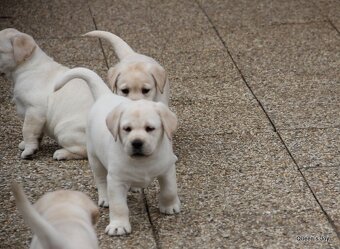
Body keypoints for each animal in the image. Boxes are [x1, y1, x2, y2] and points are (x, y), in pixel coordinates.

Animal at [0, 27, 93, 160]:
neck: (26, 66)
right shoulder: (37, 116)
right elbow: (37, 133)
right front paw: (31, 145)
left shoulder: (35, 110)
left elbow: (27, 130)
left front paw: (29, 150)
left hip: (63, 130)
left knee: (84, 151)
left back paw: (62, 153)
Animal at [54, 67, 181, 235]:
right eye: (126, 129)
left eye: (150, 128)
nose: (137, 142)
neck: (143, 161)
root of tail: (105, 95)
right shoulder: (116, 180)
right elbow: (119, 206)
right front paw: (118, 225)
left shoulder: (167, 168)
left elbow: (170, 190)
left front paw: (169, 206)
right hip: (94, 158)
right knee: (101, 180)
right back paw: (105, 198)